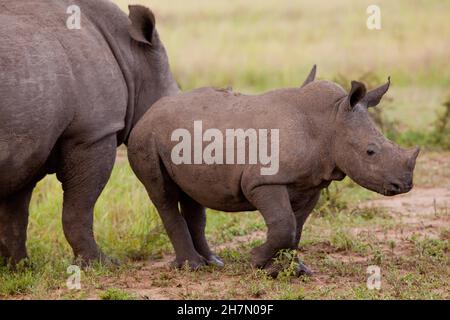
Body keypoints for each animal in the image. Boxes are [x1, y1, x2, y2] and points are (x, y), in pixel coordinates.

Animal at [0, 0, 179, 264]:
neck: (131, 58)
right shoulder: (93, 134)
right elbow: (79, 208)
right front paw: (101, 263)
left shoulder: (29, 145)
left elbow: (14, 216)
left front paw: (20, 265)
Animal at [128, 69, 420, 276]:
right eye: (370, 151)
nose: (405, 185)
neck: (330, 122)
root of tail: (148, 112)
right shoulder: (263, 181)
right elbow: (283, 224)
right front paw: (256, 261)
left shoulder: (311, 183)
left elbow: (296, 228)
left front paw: (292, 270)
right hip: (146, 137)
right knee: (163, 195)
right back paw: (194, 267)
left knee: (192, 195)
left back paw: (212, 263)